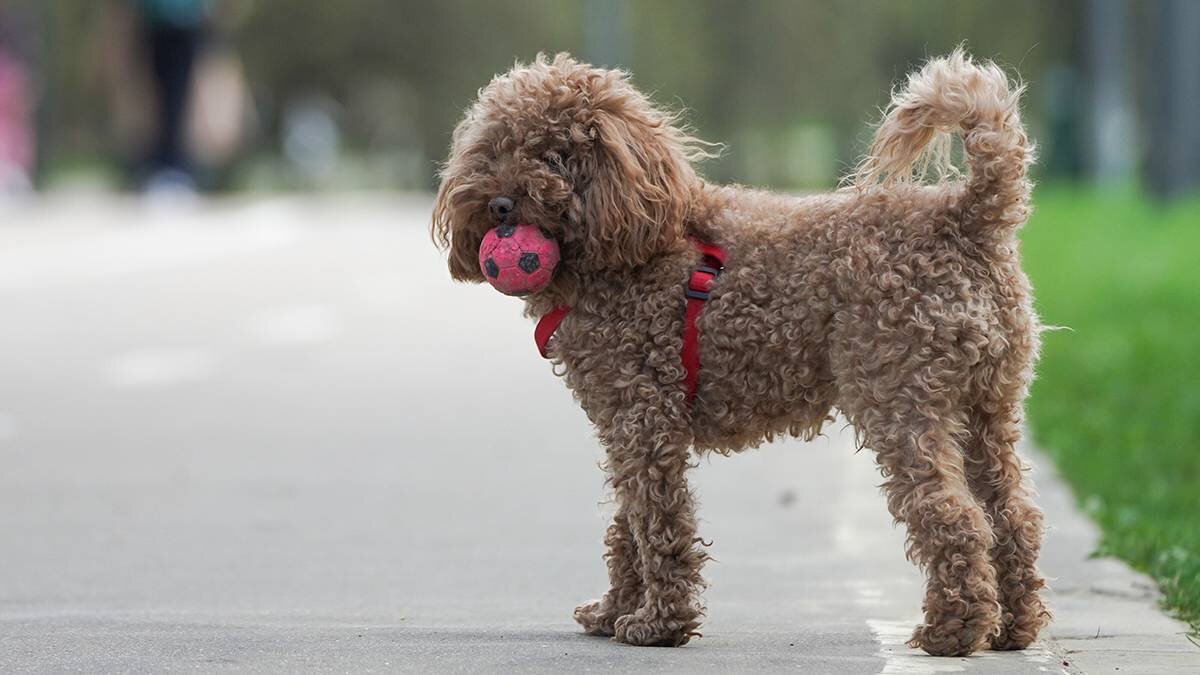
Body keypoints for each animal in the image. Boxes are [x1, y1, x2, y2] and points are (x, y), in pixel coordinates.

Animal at [432, 49, 1051, 653]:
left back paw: (953, 629)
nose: (500, 205)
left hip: (900, 398)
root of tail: (966, 218)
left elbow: (657, 521)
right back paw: (1013, 627)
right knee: (1011, 513)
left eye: (556, 156)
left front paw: (659, 624)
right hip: (988, 404)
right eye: (492, 151)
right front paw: (614, 612)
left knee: (955, 515)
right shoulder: (626, 423)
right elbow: (627, 523)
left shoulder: (643, 416)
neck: (626, 245)